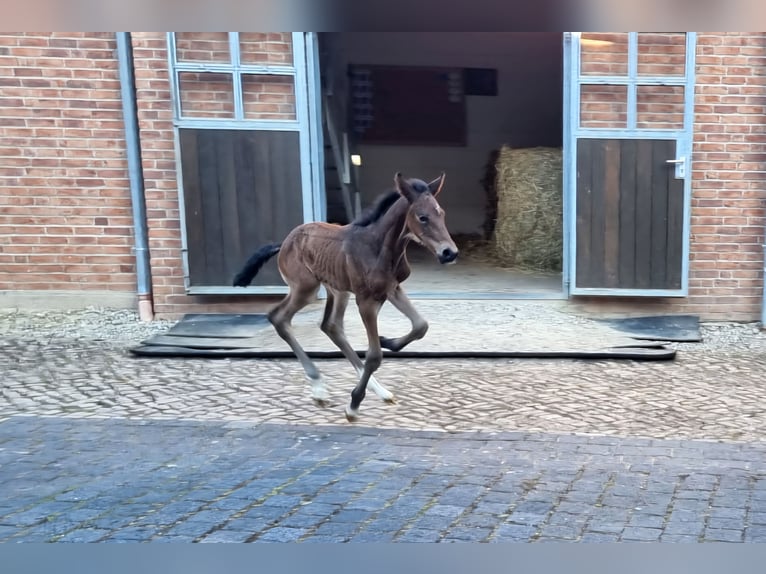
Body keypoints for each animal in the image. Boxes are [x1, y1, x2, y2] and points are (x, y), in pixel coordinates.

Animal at [233, 172, 458, 421]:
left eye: (441, 214)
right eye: (422, 217)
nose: (449, 253)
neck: (379, 247)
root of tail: (284, 243)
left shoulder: (391, 289)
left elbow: (420, 326)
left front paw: (387, 341)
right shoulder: (365, 300)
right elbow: (374, 356)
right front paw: (353, 404)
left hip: (337, 290)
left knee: (330, 326)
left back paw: (379, 391)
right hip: (305, 288)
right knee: (278, 317)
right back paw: (319, 387)